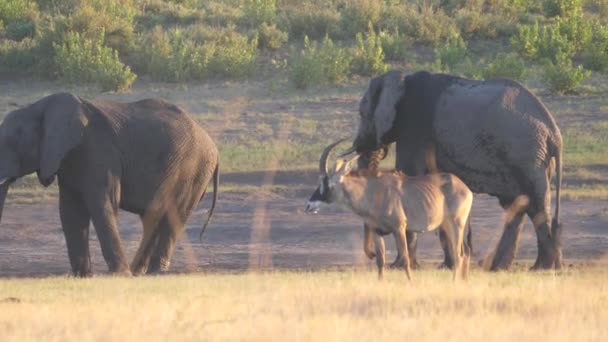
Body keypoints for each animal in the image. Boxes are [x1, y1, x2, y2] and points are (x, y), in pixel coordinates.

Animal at [0, 92, 218, 276]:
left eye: (12, 142)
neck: (40, 106)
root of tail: (213, 145)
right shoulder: (67, 158)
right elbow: (70, 211)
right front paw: (82, 276)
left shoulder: (98, 150)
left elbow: (102, 204)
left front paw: (120, 275)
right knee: (154, 217)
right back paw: (139, 271)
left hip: (192, 171)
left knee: (172, 217)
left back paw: (154, 272)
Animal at [304, 139, 476, 280]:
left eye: (326, 183)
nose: (309, 205)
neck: (372, 190)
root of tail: (465, 188)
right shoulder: (377, 232)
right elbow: (380, 261)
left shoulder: (399, 228)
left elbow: (405, 259)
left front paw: (410, 284)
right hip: (447, 226)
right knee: (465, 252)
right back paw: (464, 281)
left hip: (456, 224)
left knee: (458, 255)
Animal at [344, 71, 564, 272]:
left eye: (362, 114)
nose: (372, 256)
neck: (402, 79)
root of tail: (554, 133)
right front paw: (446, 266)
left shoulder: (415, 128)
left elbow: (409, 173)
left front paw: (398, 267)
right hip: (531, 159)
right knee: (518, 205)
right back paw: (501, 267)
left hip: (526, 156)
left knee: (535, 205)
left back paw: (541, 268)